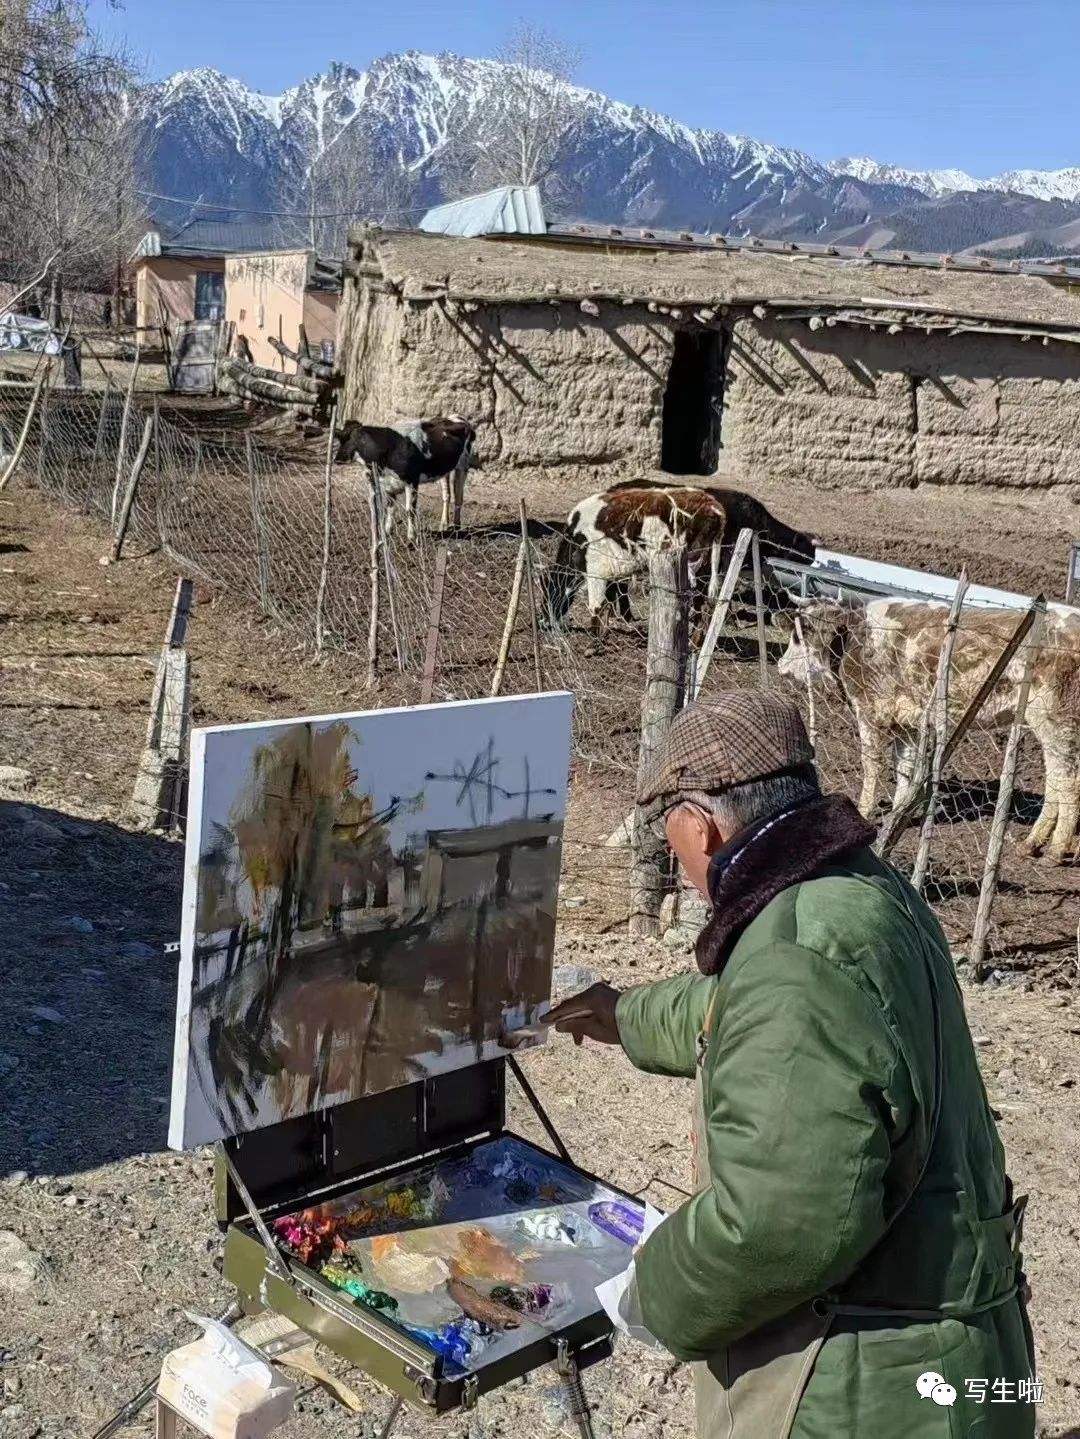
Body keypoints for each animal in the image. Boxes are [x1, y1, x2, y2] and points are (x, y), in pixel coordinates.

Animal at [336, 417, 474, 541]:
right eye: (340, 438)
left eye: (350, 439)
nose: (336, 459)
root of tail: (455, 418)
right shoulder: (387, 484)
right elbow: (390, 508)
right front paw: (387, 531)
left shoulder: (412, 481)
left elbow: (410, 510)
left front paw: (411, 537)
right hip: (444, 470)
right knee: (446, 495)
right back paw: (444, 524)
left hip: (463, 466)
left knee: (459, 497)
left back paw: (456, 526)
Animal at [776, 598, 1080, 863]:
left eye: (797, 636)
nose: (780, 666)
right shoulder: (907, 724)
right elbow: (904, 770)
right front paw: (899, 813)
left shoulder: (869, 712)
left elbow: (870, 765)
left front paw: (864, 810)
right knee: (1055, 780)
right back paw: (1039, 845)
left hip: (1055, 720)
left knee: (1067, 781)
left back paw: (1055, 850)